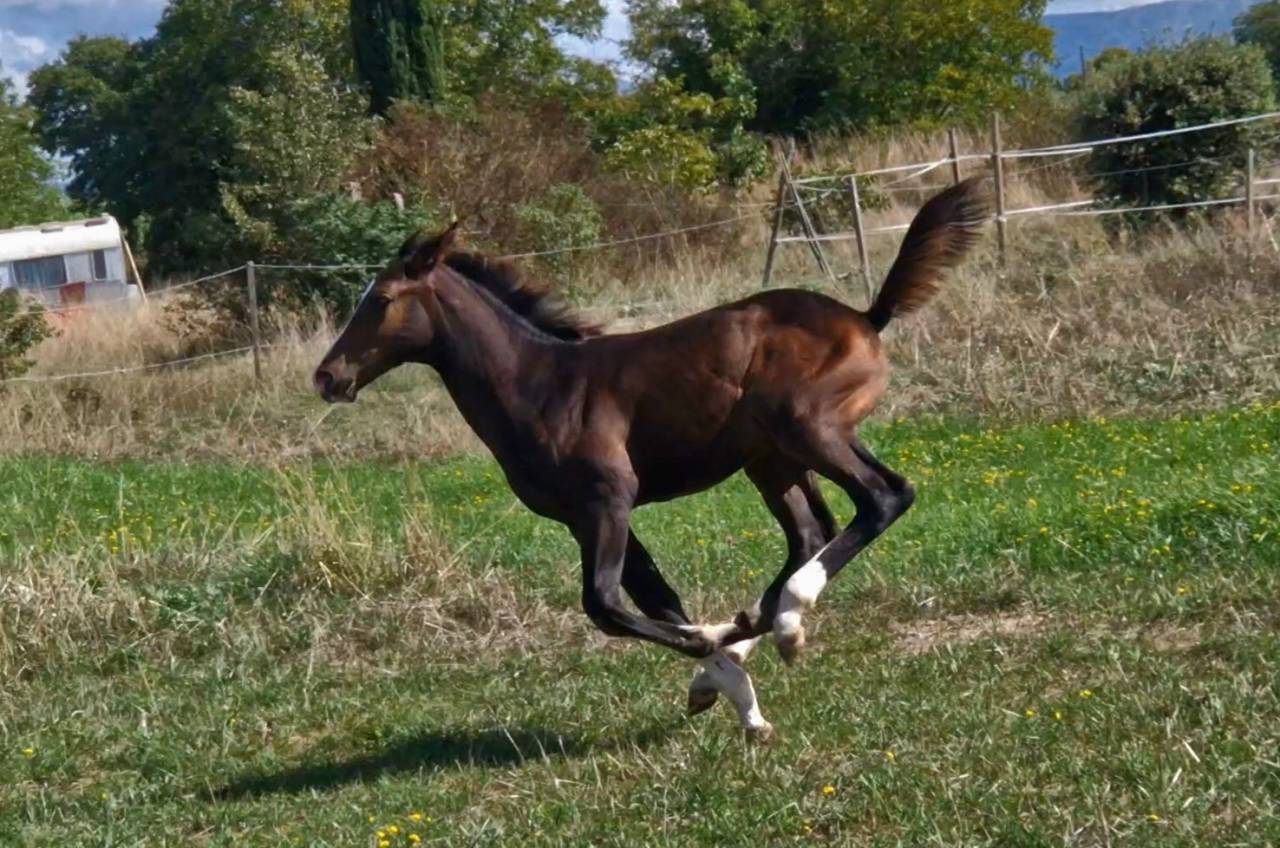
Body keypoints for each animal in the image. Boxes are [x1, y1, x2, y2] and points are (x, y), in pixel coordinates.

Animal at [314, 179, 989, 739]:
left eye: (382, 299)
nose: (327, 376)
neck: (539, 384)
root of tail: (865, 316)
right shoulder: (583, 517)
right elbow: (655, 597)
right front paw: (729, 690)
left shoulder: (607, 501)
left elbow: (606, 604)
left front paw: (715, 649)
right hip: (771, 459)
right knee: (809, 531)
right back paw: (758, 626)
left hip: (810, 428)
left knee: (883, 496)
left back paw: (791, 618)